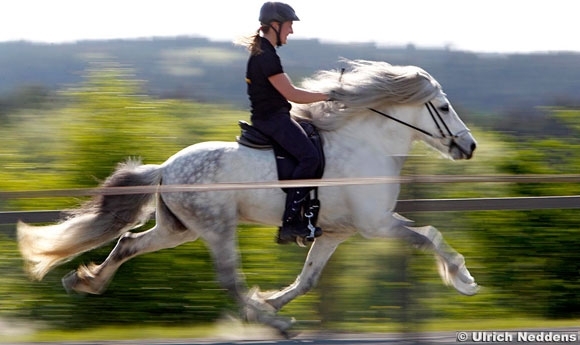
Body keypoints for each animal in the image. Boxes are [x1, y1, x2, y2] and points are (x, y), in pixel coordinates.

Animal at [19, 59, 480, 334]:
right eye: (443, 106)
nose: (470, 146)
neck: (366, 144)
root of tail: (165, 168)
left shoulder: (340, 232)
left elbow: (309, 278)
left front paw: (274, 299)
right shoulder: (376, 226)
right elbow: (427, 238)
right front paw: (464, 280)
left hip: (180, 229)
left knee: (130, 242)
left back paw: (86, 281)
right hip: (216, 226)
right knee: (228, 277)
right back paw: (273, 323)